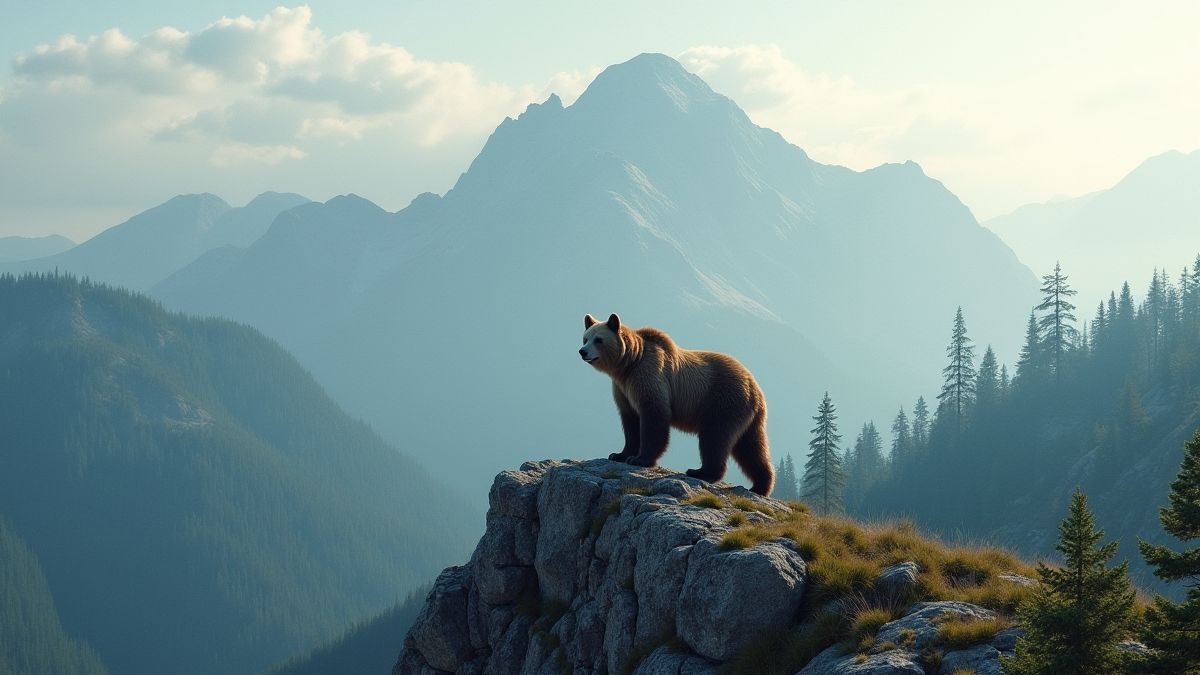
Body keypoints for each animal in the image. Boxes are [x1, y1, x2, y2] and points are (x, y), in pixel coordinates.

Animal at [578, 313, 775, 496]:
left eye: (598, 339)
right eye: (586, 337)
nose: (582, 351)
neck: (629, 364)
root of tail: (757, 390)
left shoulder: (648, 375)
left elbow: (654, 415)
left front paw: (640, 459)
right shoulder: (623, 389)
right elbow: (630, 421)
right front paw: (619, 454)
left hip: (722, 400)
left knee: (715, 436)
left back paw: (702, 472)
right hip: (748, 416)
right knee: (751, 447)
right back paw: (760, 486)